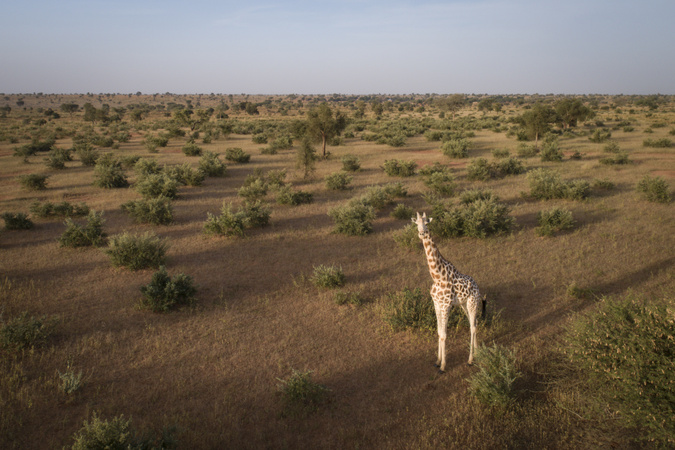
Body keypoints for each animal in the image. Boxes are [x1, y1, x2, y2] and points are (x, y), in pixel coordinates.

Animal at [412, 213, 486, 370]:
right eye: (416, 223)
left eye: (427, 223)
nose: (421, 233)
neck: (437, 276)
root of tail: (477, 287)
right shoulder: (436, 303)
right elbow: (439, 332)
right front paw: (437, 360)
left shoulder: (446, 305)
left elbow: (444, 335)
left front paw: (443, 366)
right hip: (465, 305)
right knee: (474, 324)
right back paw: (477, 351)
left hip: (472, 303)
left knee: (472, 327)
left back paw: (470, 359)